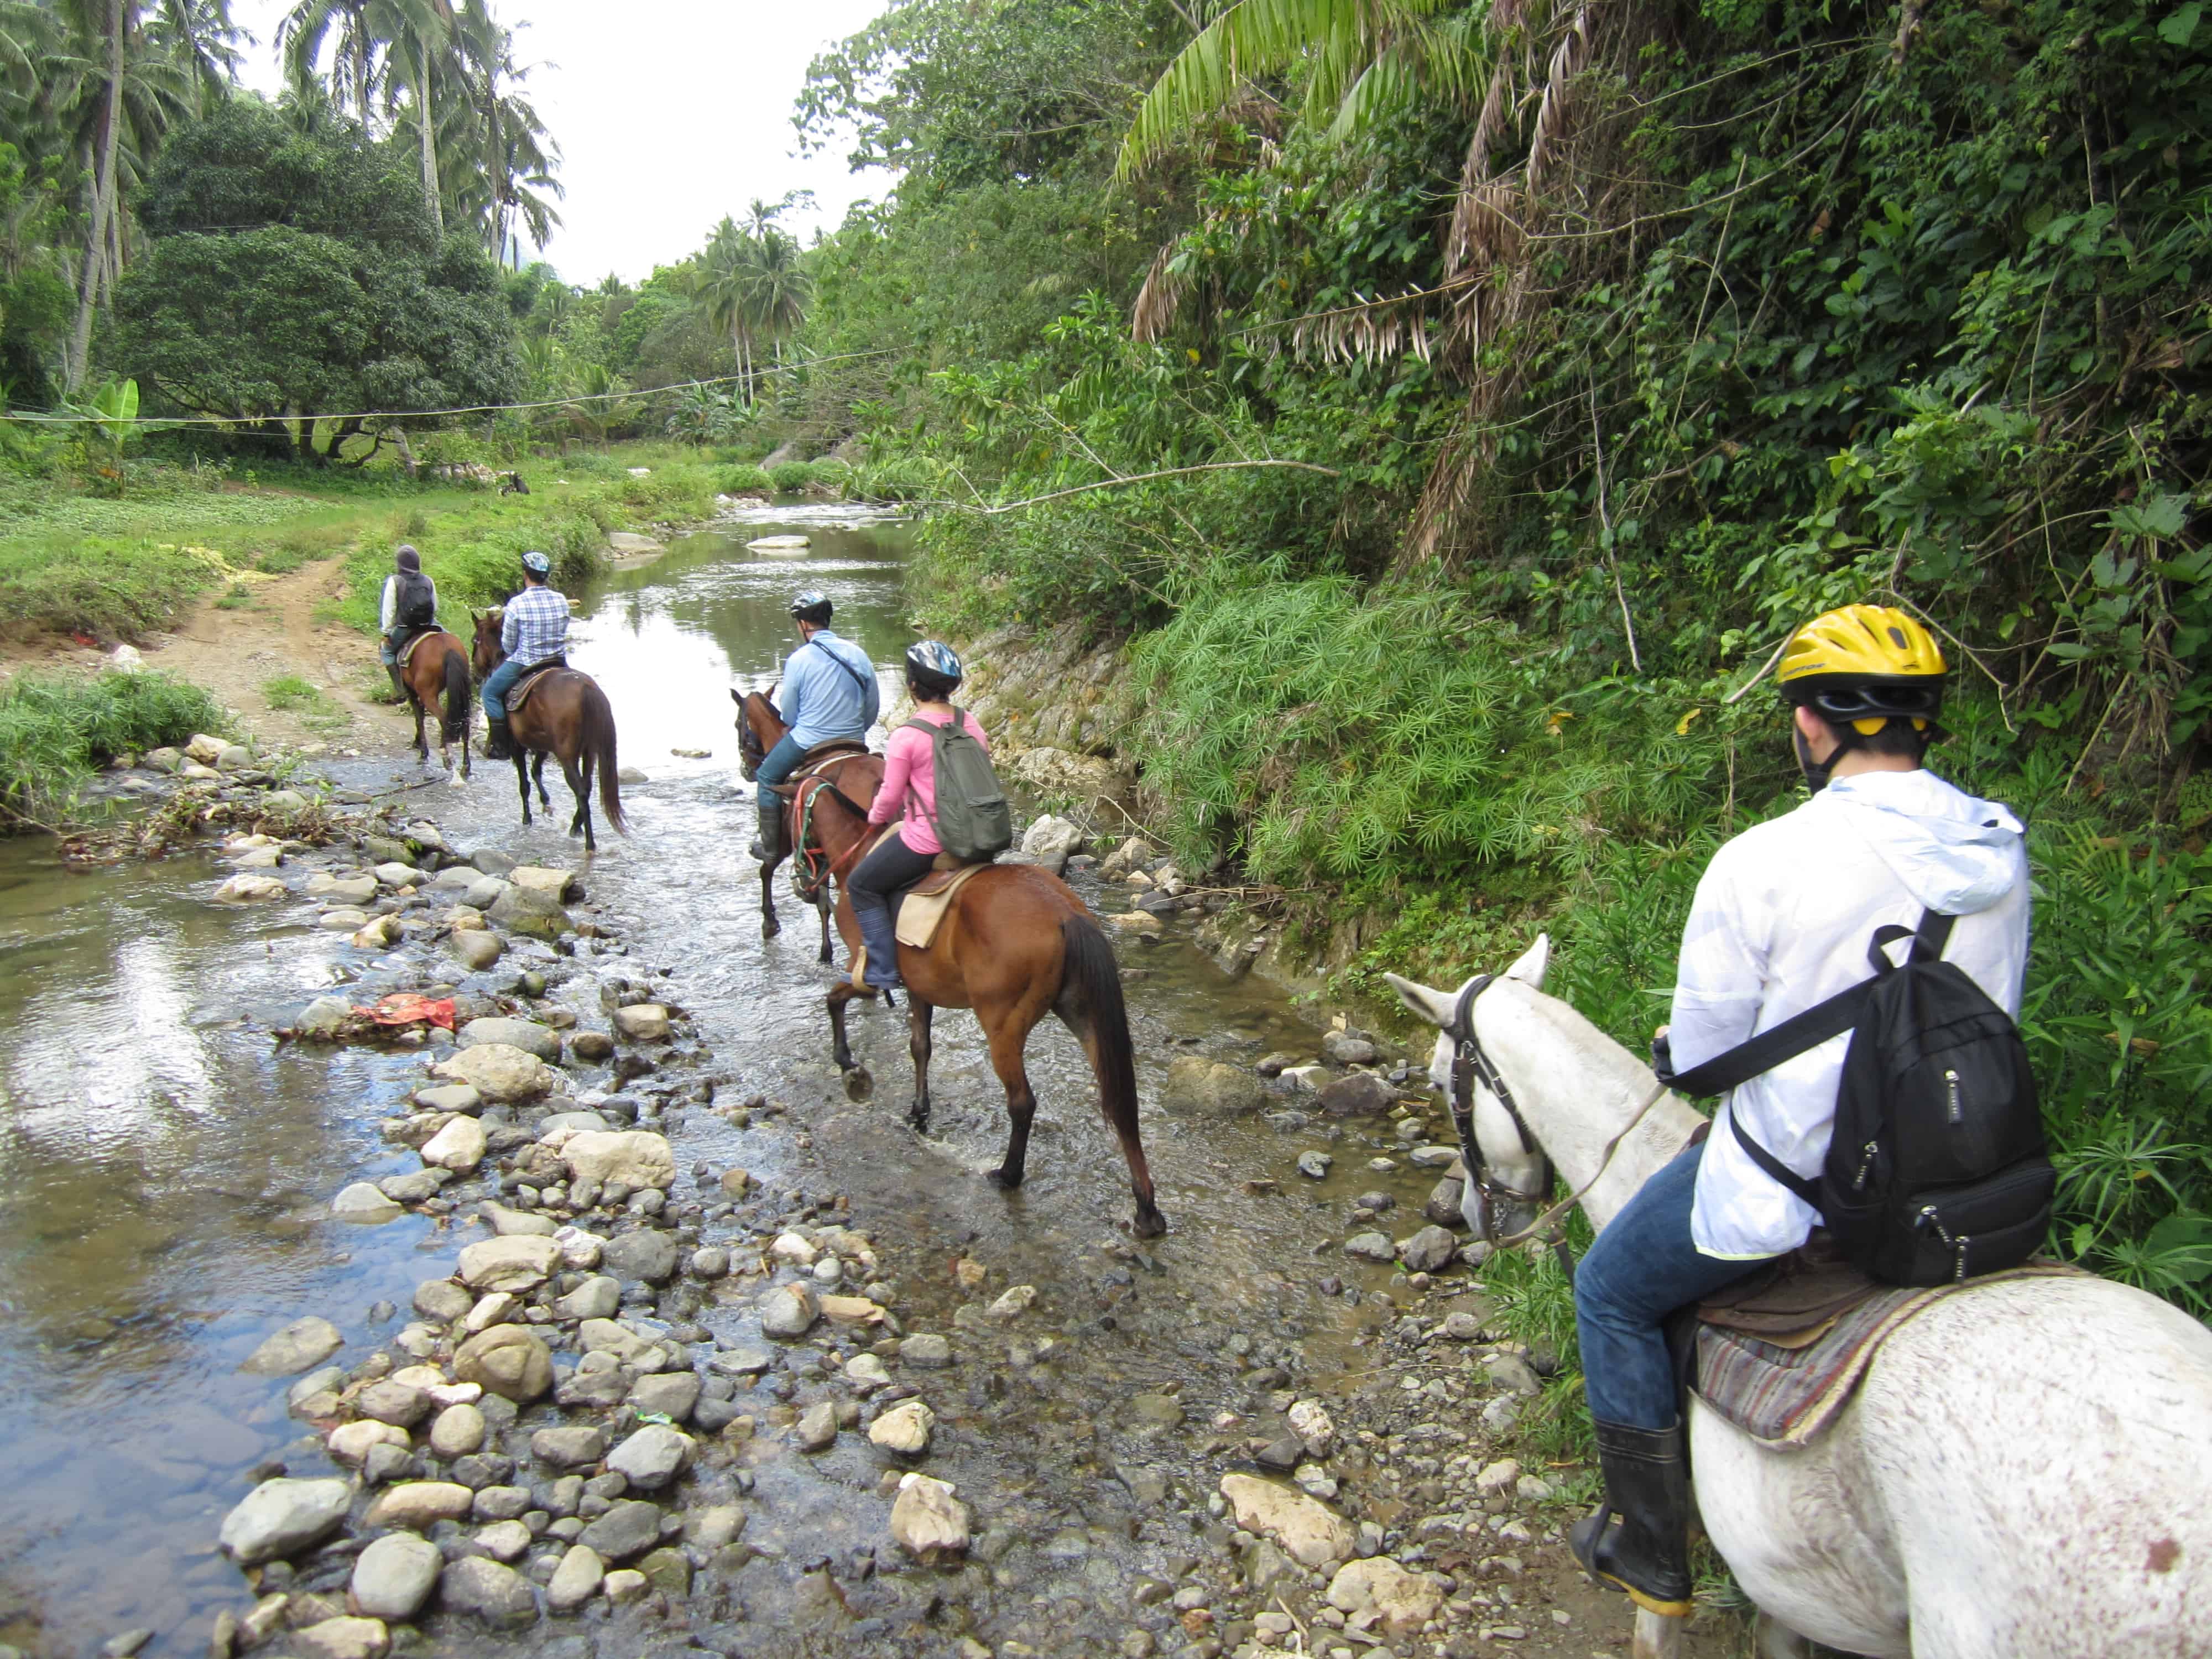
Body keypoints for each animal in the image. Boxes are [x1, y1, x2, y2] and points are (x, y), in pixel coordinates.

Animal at [394, 628, 471, 783]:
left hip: (428, 694)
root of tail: (447, 648)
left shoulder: (413, 693)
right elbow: (421, 718)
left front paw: (423, 753)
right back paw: (466, 767)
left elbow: (419, 720)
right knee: (465, 723)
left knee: (443, 718)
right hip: (462, 691)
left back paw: (446, 756)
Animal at [471, 606, 628, 858]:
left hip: (567, 755)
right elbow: (536, 772)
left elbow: (524, 784)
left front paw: (527, 818)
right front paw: (547, 805)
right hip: (589, 752)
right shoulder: (542, 745)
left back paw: (589, 843)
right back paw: (575, 827)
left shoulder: (518, 746)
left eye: (475, 640)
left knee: (581, 790)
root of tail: (587, 689)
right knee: (588, 786)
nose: (475, 673)